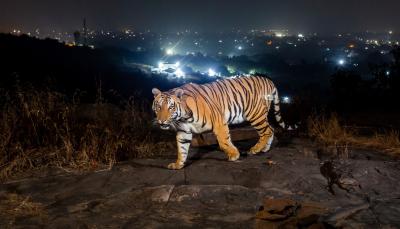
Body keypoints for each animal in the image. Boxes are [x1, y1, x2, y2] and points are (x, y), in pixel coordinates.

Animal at [152, 75, 292, 170]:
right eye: (158, 107)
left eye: (171, 107)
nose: (161, 120)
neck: (183, 117)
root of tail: (269, 80)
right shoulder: (183, 131)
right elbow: (182, 149)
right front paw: (178, 165)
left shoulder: (219, 122)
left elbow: (223, 141)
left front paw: (234, 155)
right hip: (262, 115)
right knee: (271, 129)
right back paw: (265, 149)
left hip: (255, 114)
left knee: (266, 131)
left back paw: (255, 149)